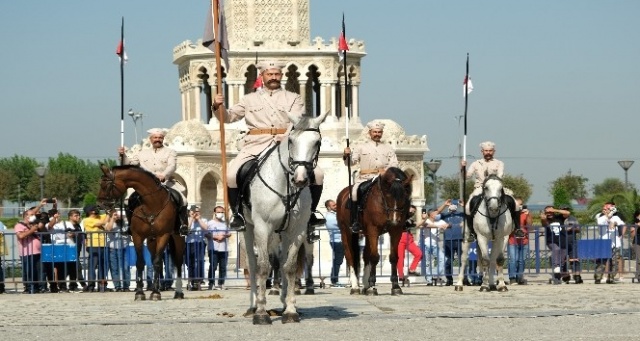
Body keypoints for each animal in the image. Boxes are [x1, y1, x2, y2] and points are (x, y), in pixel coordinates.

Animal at [96, 163, 185, 298]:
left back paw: (178, 292)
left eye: (106, 185)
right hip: (151, 241)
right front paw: (139, 292)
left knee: (178, 262)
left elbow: (158, 262)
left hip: (177, 237)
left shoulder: (163, 235)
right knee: (154, 260)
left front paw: (155, 293)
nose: (100, 205)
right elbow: (140, 262)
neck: (152, 203)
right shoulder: (138, 236)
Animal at [242, 112, 328, 324]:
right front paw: (261, 313)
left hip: (284, 233)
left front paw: (290, 310)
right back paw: (253, 306)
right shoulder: (262, 227)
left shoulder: (297, 230)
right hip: (248, 229)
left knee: (281, 263)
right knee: (253, 264)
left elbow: (289, 267)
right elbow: (263, 266)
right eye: (291, 140)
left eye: (317, 142)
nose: (300, 178)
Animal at [338, 166, 412, 294]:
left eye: (404, 197)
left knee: (365, 255)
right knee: (350, 256)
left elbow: (393, 257)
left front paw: (395, 286)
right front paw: (373, 285)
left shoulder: (395, 231)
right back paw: (355, 286)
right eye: (388, 197)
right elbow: (374, 256)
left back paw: (365, 284)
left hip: (367, 234)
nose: (394, 220)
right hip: (345, 231)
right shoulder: (374, 230)